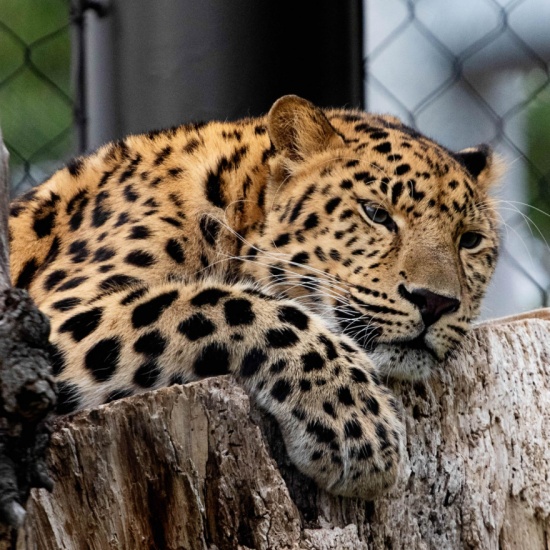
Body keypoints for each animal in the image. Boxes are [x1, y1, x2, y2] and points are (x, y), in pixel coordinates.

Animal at [8, 94, 502, 500]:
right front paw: (358, 426)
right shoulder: (46, 322)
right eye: (376, 214)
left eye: (470, 240)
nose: (436, 302)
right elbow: (232, 302)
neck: (227, 207)